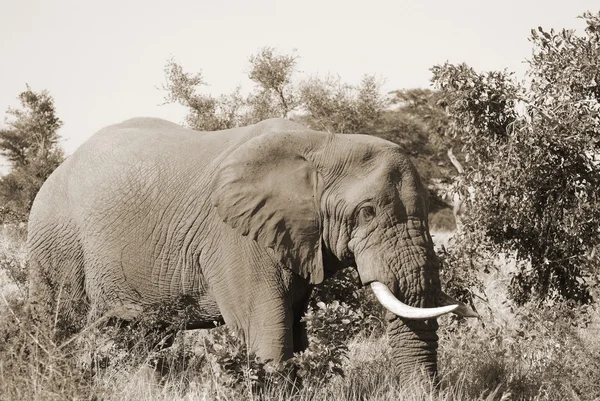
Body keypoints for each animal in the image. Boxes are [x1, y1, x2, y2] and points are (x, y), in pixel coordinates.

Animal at [27, 115, 478, 382]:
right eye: (366, 212)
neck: (322, 143)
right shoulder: (234, 238)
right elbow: (267, 332)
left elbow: (294, 329)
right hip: (56, 239)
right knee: (59, 323)